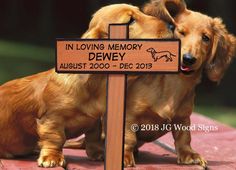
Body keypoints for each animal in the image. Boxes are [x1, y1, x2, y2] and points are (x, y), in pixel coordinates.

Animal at [0, 3, 173, 167]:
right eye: (130, 20)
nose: (171, 26)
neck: (95, 85)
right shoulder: (52, 118)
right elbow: (55, 138)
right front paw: (52, 157)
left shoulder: (95, 119)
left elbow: (93, 137)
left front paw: (99, 154)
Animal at [121, 0, 235, 167]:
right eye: (180, 32)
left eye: (206, 38)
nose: (188, 59)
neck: (175, 83)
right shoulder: (130, 114)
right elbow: (128, 137)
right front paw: (124, 155)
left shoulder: (183, 118)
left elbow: (184, 137)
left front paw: (189, 154)